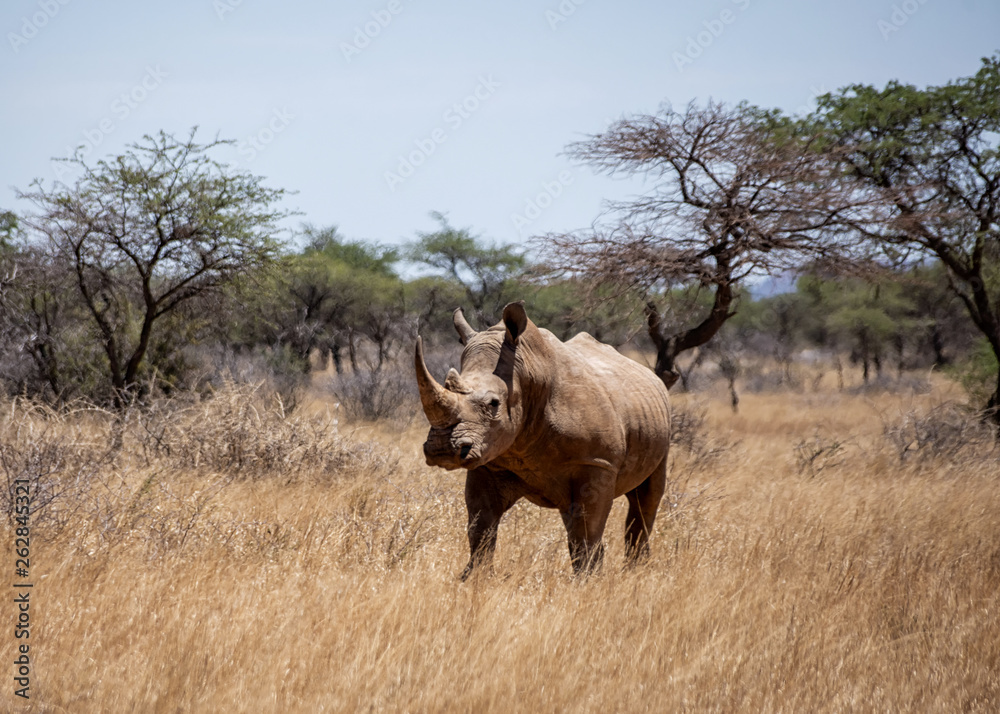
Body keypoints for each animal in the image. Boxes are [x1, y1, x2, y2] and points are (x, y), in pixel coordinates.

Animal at [415, 302, 671, 576]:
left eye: (494, 403)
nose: (441, 449)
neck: (529, 374)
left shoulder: (597, 462)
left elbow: (587, 530)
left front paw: (589, 581)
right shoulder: (487, 461)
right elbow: (480, 527)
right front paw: (474, 578)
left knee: (645, 500)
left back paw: (636, 571)